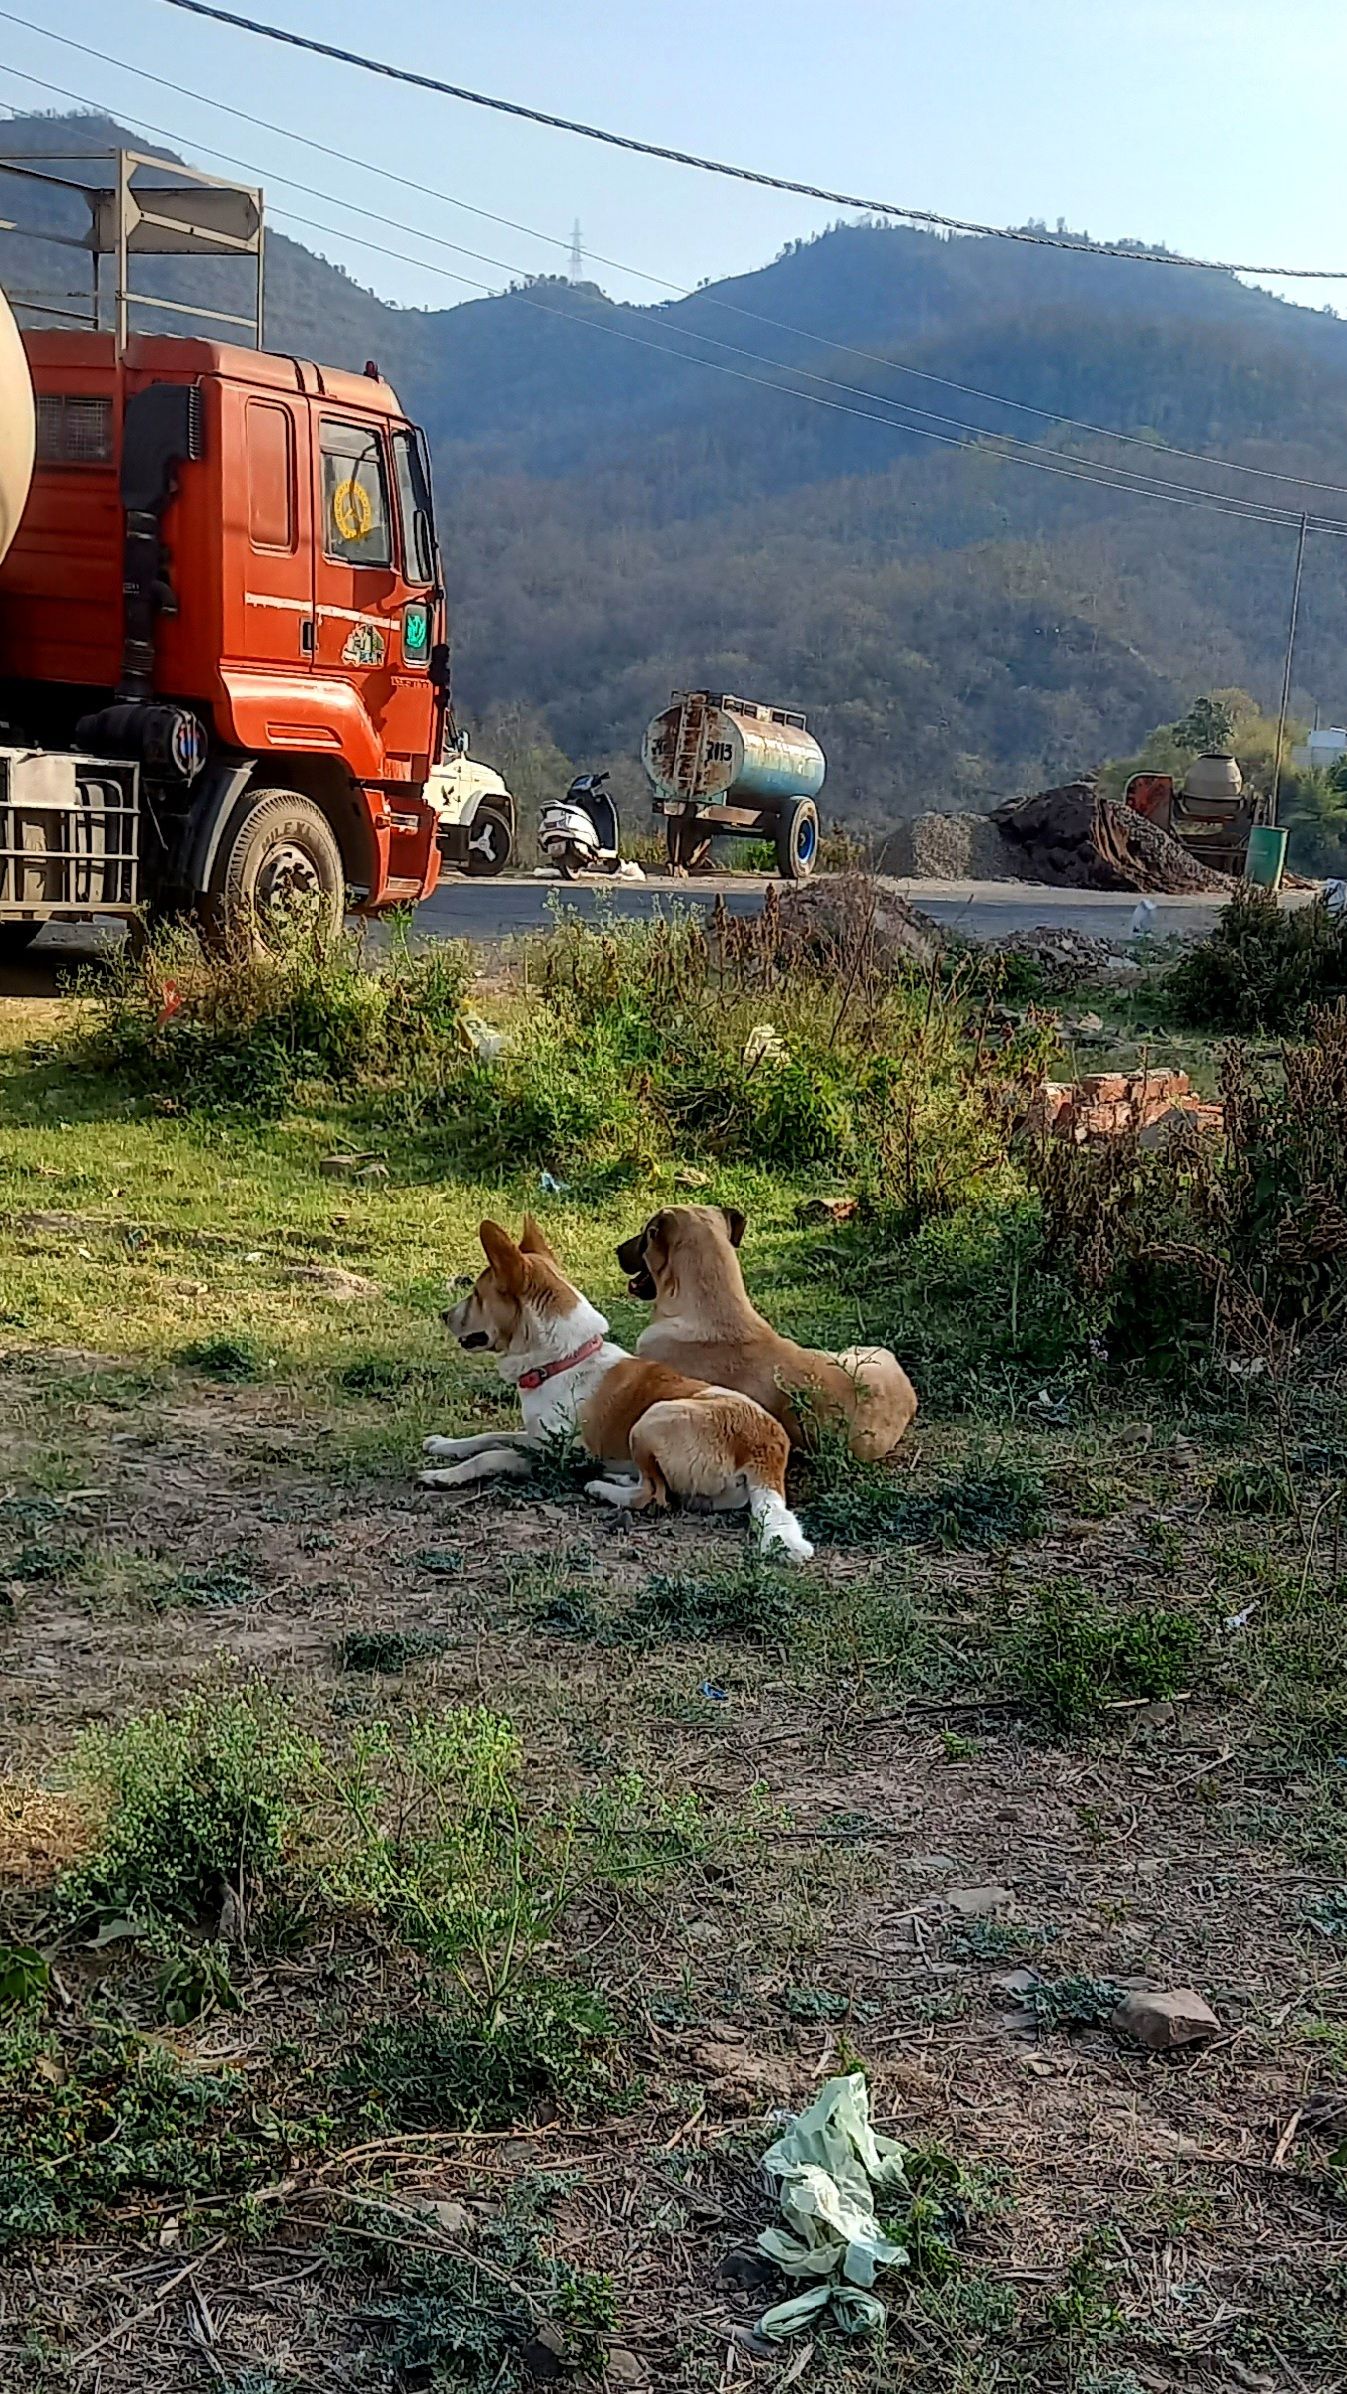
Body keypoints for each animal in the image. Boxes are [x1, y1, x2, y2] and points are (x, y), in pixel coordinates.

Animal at [418, 1216, 813, 1570]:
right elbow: (487, 1437)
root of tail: (766, 1450)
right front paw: (444, 1446)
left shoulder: (558, 1456)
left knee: (654, 1497)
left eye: (475, 1294)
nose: (443, 1315)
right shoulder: (533, 1436)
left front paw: (443, 1476)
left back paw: (602, 1487)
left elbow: (491, 1455)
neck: (563, 1359)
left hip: (650, 1419)